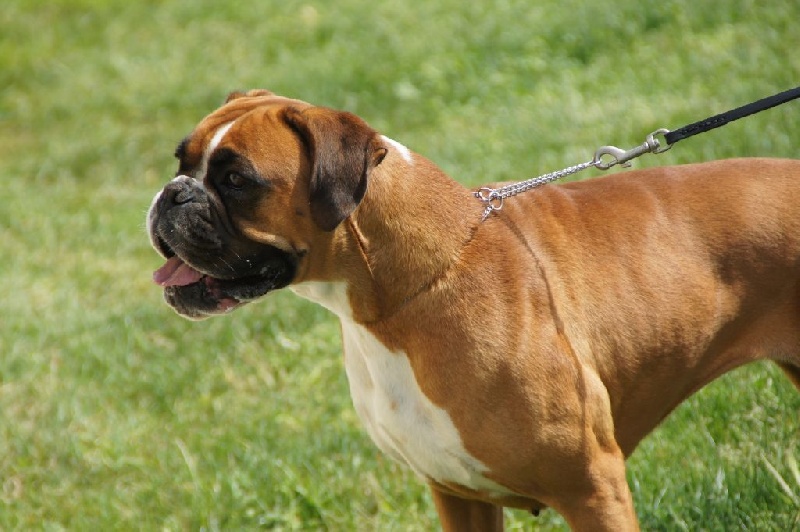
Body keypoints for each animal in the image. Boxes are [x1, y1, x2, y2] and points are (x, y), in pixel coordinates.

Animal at [147, 89, 800, 530]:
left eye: (237, 180)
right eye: (181, 162)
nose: (170, 195)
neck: (400, 299)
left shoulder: (593, 485)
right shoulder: (457, 494)